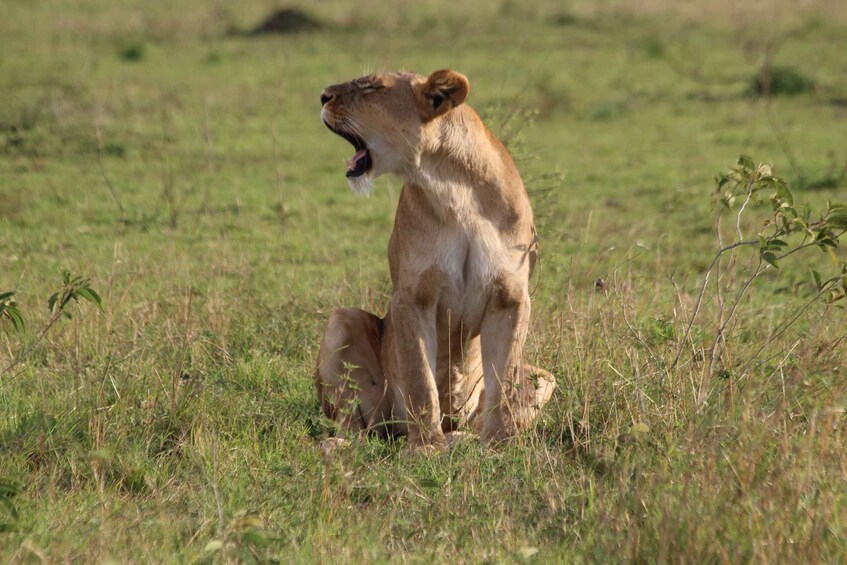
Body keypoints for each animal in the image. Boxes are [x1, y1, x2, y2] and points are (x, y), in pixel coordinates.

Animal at [315, 69, 555, 452]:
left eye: (372, 86)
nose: (322, 96)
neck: (453, 188)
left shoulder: (511, 298)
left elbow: (503, 380)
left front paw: (498, 446)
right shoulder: (413, 296)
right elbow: (419, 378)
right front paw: (427, 448)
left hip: (543, 377)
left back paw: (463, 437)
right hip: (343, 322)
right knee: (360, 426)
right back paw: (342, 444)